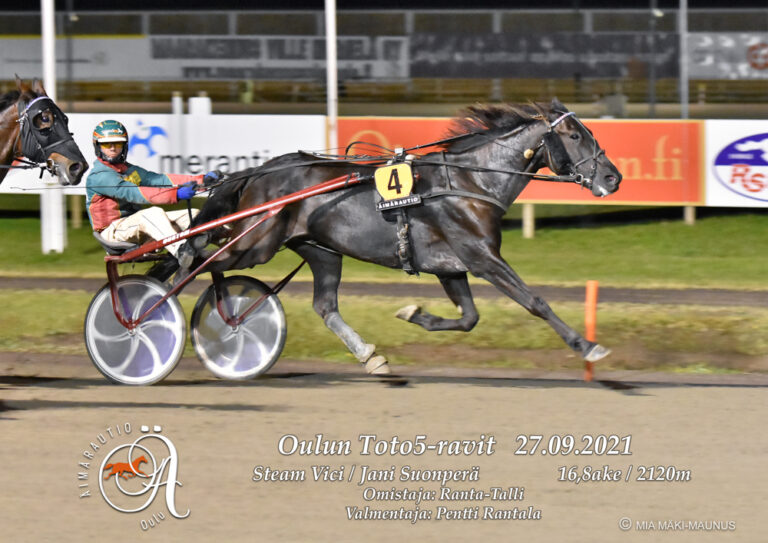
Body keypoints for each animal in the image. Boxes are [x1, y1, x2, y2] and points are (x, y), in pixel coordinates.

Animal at [166, 99, 622, 375]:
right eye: (576, 135)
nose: (613, 178)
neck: (470, 182)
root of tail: (261, 170)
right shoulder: (481, 257)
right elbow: (535, 301)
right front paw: (587, 346)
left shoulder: (451, 266)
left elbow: (469, 318)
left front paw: (415, 314)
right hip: (256, 242)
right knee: (197, 257)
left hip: (320, 250)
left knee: (324, 305)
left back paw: (370, 357)